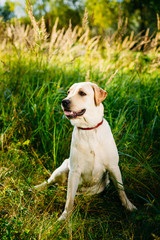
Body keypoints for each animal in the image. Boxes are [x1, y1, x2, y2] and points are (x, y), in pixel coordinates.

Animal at [34, 81, 136, 220]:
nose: (64, 101)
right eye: (68, 92)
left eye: (82, 93)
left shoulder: (113, 166)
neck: (89, 129)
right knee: (49, 182)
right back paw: (35, 188)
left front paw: (129, 206)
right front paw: (64, 218)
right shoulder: (74, 171)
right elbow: (69, 200)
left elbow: (121, 190)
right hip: (62, 169)